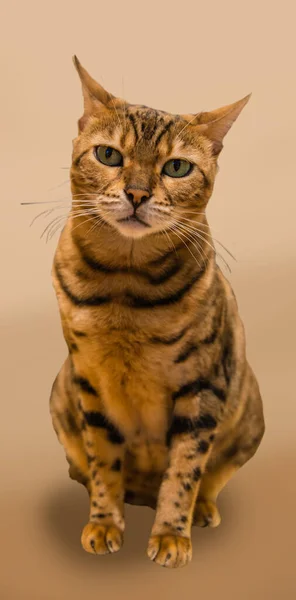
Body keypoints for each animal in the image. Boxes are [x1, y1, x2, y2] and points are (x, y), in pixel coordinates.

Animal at [49, 56, 264, 568]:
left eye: (177, 167)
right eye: (109, 156)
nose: (137, 193)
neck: (125, 289)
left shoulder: (203, 385)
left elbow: (185, 468)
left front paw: (171, 535)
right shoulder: (90, 381)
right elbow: (103, 461)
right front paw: (104, 523)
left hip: (250, 411)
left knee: (211, 474)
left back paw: (200, 511)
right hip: (60, 396)